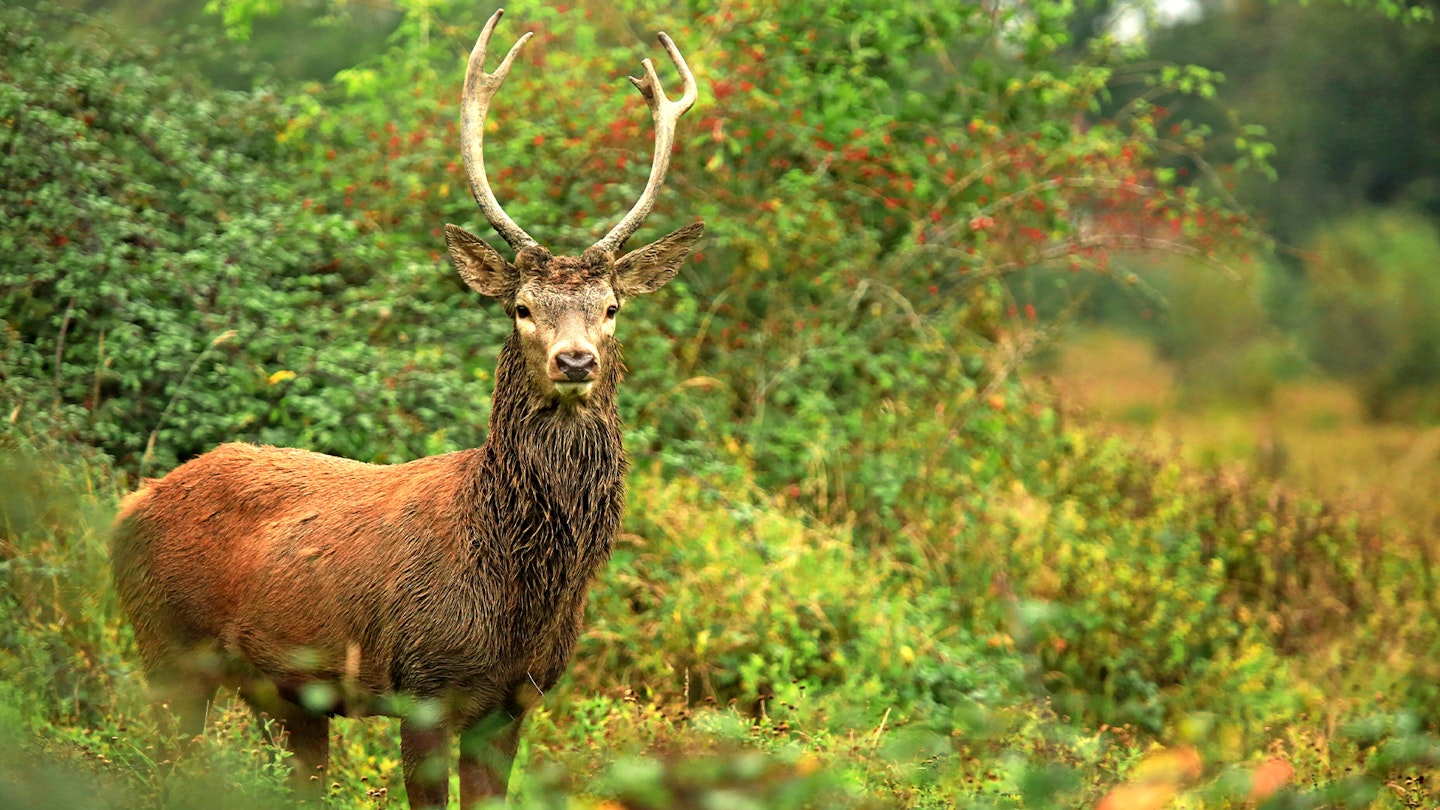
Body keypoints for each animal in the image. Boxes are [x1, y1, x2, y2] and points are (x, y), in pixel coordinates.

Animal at [109, 9, 701, 808]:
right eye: (521, 307)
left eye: (610, 308)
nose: (574, 361)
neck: (516, 585)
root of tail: (130, 504)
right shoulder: (423, 682)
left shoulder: (517, 700)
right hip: (167, 648)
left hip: (292, 694)